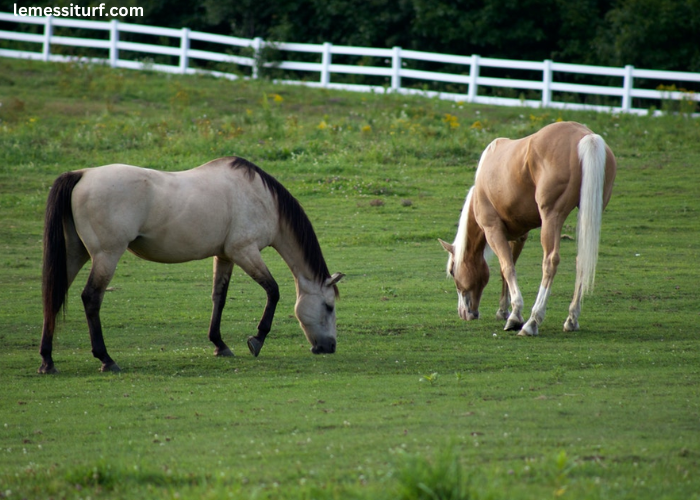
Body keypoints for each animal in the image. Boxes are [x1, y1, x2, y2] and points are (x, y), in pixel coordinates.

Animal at [39, 155, 344, 372]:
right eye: (329, 306)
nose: (330, 347)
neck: (262, 197)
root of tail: (82, 174)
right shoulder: (244, 251)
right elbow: (273, 291)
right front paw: (256, 340)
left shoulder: (225, 256)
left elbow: (219, 297)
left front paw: (220, 344)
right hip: (106, 255)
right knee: (91, 298)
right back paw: (106, 359)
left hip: (75, 254)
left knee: (53, 296)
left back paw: (47, 361)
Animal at [440, 121, 616, 336]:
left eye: (452, 271)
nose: (465, 313)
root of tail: (586, 136)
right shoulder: (519, 236)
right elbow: (506, 269)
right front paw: (503, 311)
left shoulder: (493, 230)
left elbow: (507, 268)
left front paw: (515, 315)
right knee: (581, 260)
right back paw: (571, 319)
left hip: (551, 218)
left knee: (550, 262)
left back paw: (532, 322)